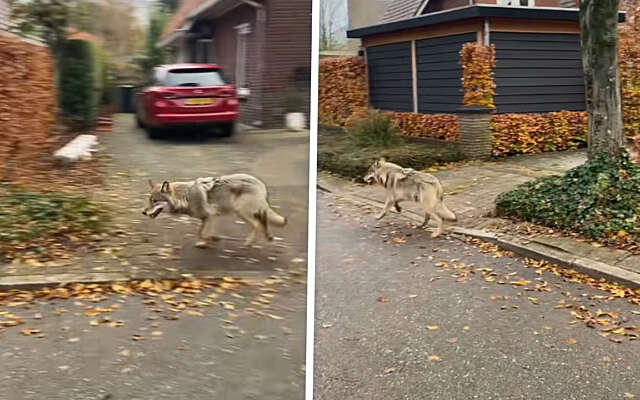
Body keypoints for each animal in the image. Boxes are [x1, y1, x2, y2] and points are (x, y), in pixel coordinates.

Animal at [142, 173, 287, 248]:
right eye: (149, 200)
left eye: (155, 201)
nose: (143, 212)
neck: (185, 196)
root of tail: (261, 184)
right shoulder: (211, 216)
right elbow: (207, 231)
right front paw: (213, 238)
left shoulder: (208, 216)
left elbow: (202, 233)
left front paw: (203, 243)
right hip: (246, 211)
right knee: (263, 220)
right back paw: (268, 237)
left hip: (241, 211)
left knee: (257, 224)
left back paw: (249, 242)